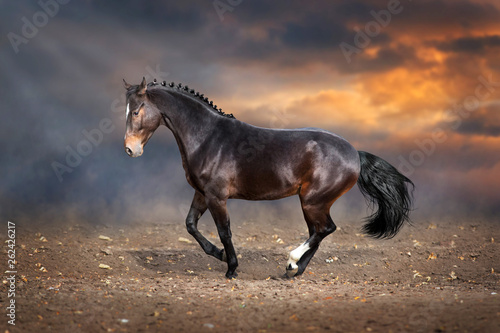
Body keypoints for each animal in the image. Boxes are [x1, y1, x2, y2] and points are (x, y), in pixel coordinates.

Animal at [122, 77, 414, 278]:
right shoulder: (202, 193)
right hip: (313, 204)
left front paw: (231, 268)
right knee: (317, 232)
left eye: (136, 111)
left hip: (313, 201)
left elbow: (224, 231)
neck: (208, 137)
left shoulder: (217, 197)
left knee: (324, 230)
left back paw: (292, 260)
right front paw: (219, 255)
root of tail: (355, 153)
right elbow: (190, 225)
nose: (130, 149)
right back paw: (293, 271)